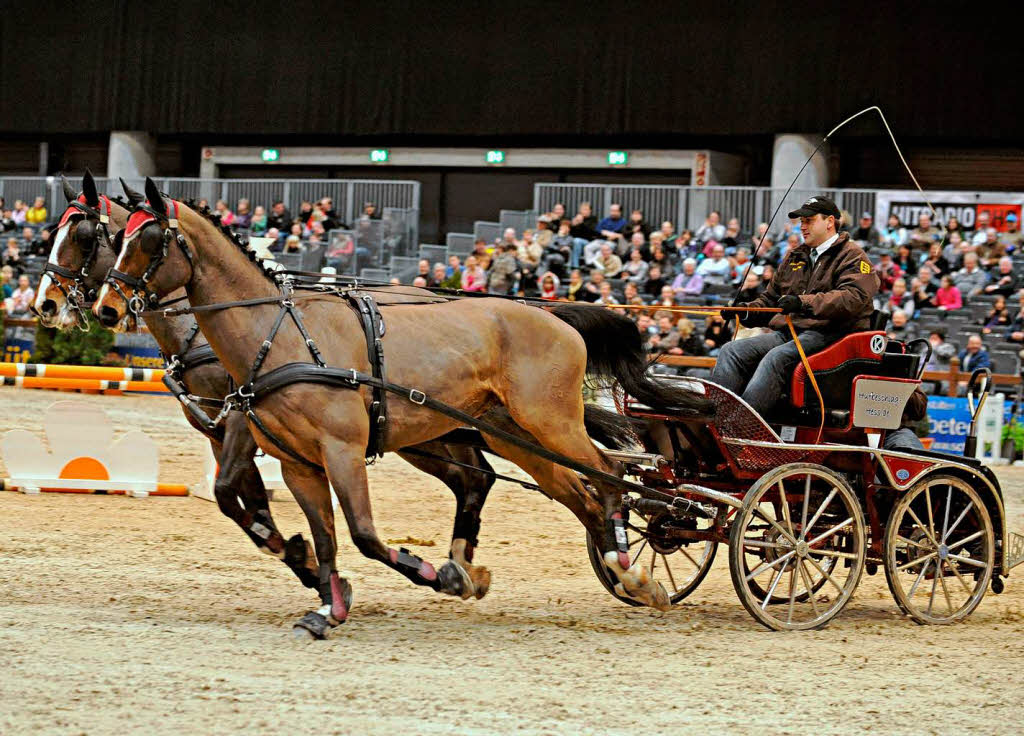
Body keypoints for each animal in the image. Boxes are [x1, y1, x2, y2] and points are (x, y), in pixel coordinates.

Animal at [92, 177, 708, 638]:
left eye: (148, 239)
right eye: (113, 238)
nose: (103, 308)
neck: (279, 333)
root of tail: (553, 314)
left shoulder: (339, 451)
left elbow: (363, 534)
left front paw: (431, 574)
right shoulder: (298, 464)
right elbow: (323, 537)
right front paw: (328, 604)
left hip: (550, 423)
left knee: (606, 478)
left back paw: (627, 570)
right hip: (511, 436)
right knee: (573, 493)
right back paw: (622, 575)